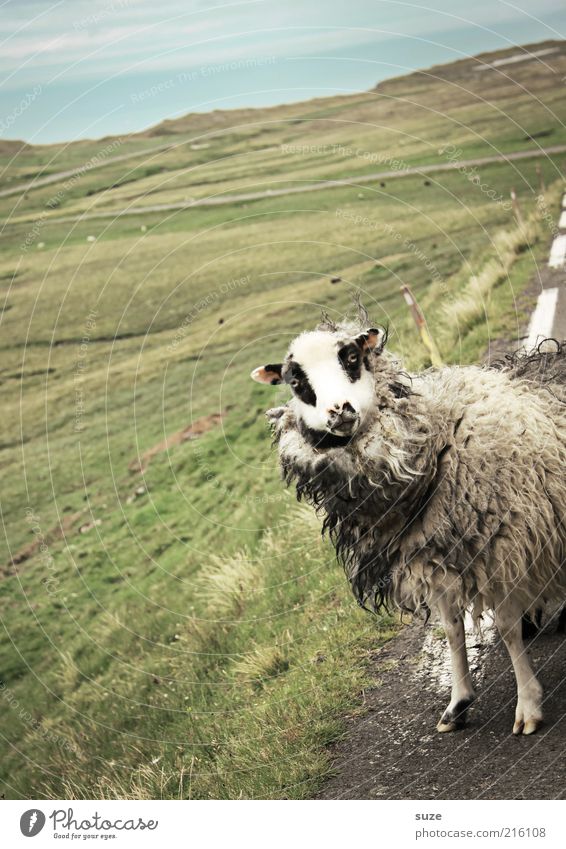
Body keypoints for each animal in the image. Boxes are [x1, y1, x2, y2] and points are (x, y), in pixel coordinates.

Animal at [253, 308, 566, 732]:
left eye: (351, 357)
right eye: (296, 381)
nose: (339, 410)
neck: (441, 443)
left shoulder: (502, 544)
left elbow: (504, 624)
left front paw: (528, 706)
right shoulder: (428, 556)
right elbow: (451, 629)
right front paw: (457, 703)